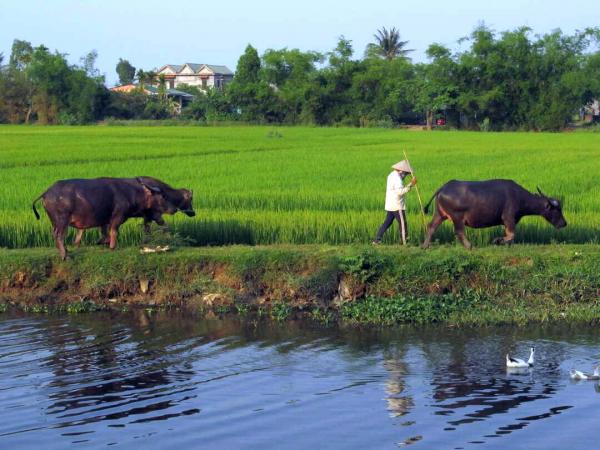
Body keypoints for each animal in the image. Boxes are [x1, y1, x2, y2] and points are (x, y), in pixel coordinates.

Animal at [32, 177, 195, 260]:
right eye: (162, 197)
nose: (174, 209)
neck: (133, 193)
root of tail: (47, 192)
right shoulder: (120, 216)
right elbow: (114, 231)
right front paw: (112, 246)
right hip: (62, 220)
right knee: (59, 235)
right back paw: (66, 256)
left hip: (55, 221)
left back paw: (68, 250)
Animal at [422, 180, 568, 250]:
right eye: (556, 210)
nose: (564, 223)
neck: (519, 197)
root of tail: (443, 187)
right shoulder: (508, 218)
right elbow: (511, 234)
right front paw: (497, 241)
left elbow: (510, 235)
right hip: (457, 217)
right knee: (459, 232)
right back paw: (469, 246)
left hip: (440, 214)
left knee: (431, 227)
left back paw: (425, 246)